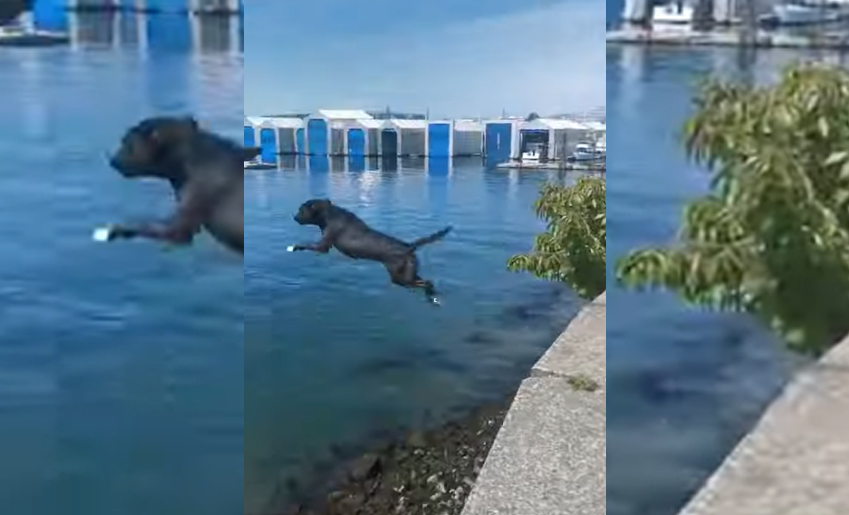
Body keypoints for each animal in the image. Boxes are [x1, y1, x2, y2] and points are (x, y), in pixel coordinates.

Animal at [99, 116, 250, 255]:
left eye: (127, 143)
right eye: (123, 140)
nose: (113, 160)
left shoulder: (182, 225)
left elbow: (154, 228)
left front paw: (115, 229)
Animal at [290, 197, 450, 302]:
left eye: (301, 210)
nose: (294, 217)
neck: (329, 214)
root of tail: (409, 246)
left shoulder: (323, 246)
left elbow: (307, 245)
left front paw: (296, 247)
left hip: (400, 276)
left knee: (426, 282)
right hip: (408, 273)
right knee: (426, 282)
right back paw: (432, 297)